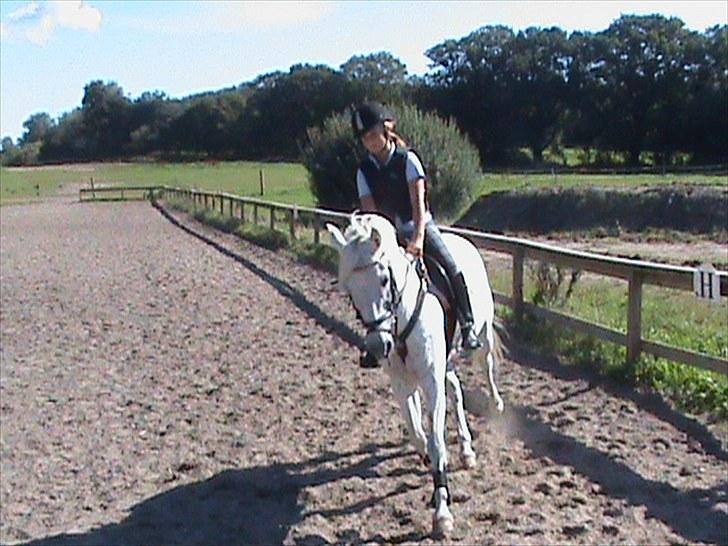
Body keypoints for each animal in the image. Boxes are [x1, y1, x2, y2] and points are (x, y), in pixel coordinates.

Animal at [326, 213, 503, 536]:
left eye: (384, 279)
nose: (377, 346)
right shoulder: (402, 383)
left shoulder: (430, 381)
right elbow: (417, 430)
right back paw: (466, 449)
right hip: (445, 362)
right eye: (351, 291)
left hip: (481, 333)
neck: (403, 319)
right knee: (455, 390)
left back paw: (496, 404)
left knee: (486, 365)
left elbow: (435, 440)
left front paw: (442, 512)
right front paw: (427, 457)